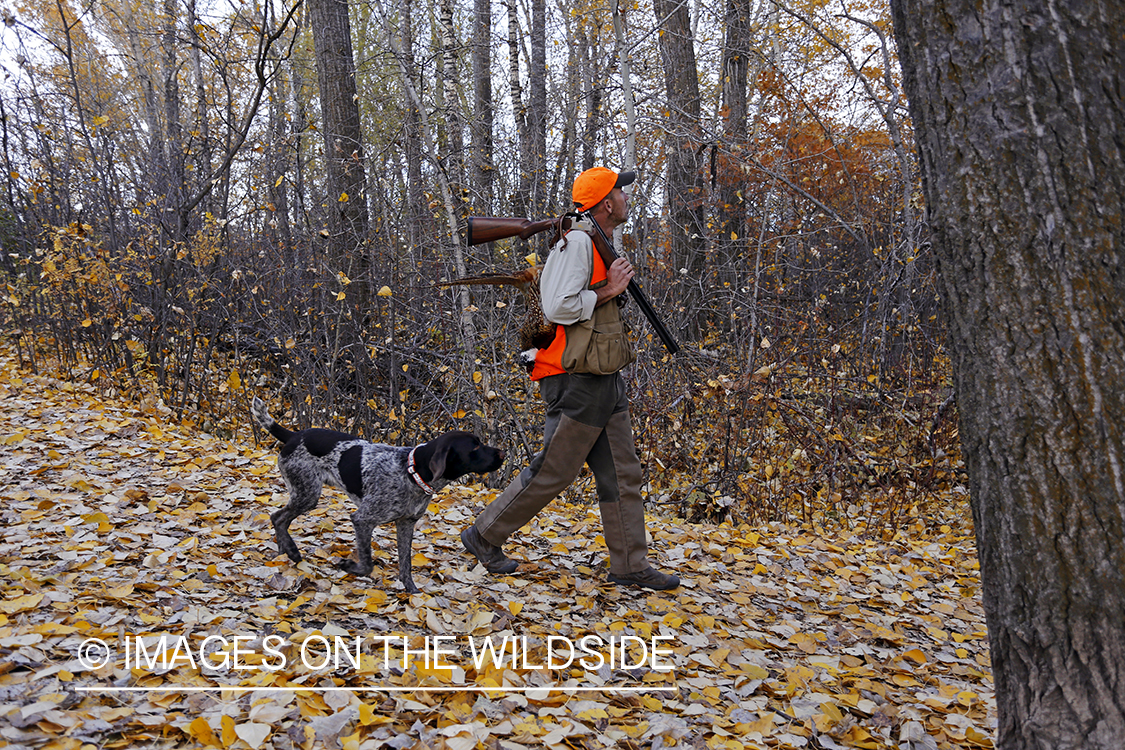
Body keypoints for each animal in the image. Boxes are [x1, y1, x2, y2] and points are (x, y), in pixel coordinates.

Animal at [255, 398, 506, 593]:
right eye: (474, 447)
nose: (502, 453)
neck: (410, 472)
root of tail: (293, 435)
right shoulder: (363, 519)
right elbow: (367, 564)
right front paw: (350, 567)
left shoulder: (406, 524)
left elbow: (405, 564)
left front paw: (412, 592)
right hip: (307, 493)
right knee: (278, 518)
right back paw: (291, 552)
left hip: (305, 493)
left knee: (279, 519)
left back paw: (284, 553)